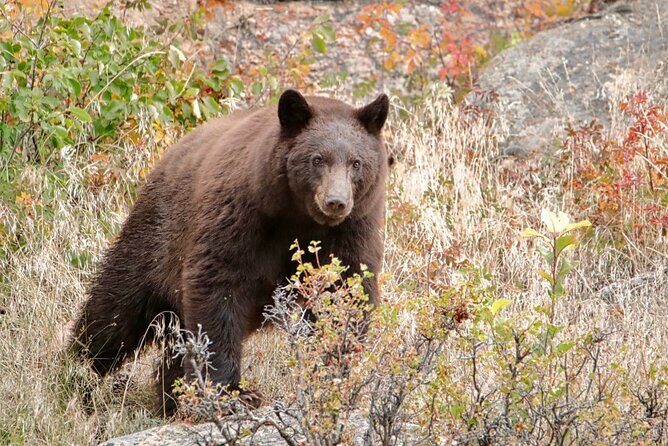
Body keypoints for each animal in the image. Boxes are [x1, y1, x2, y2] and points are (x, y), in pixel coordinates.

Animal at [71, 89, 390, 416]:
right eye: (317, 159)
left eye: (356, 162)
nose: (335, 201)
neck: (298, 217)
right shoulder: (239, 217)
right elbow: (218, 288)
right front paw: (231, 392)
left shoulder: (353, 231)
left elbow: (346, 292)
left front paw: (330, 373)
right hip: (155, 239)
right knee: (114, 313)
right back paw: (78, 374)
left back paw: (170, 399)